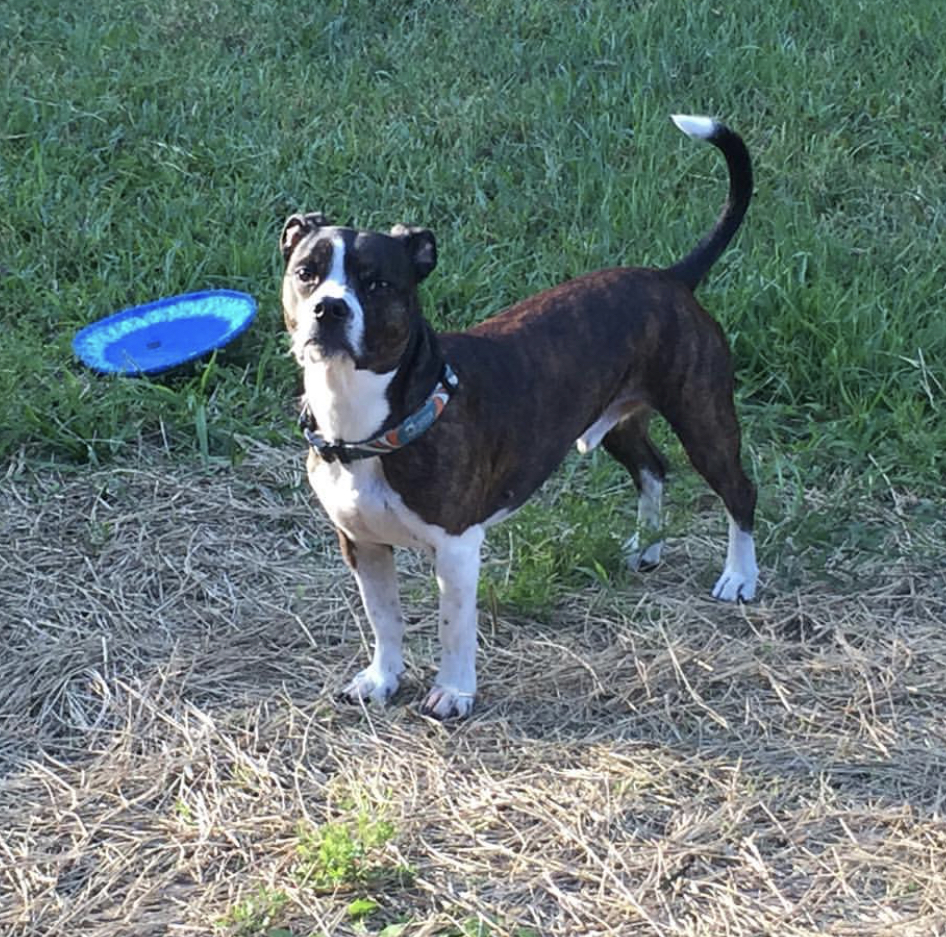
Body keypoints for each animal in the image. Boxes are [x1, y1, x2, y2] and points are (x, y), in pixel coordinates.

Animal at [280, 115, 760, 716]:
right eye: (306, 272)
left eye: (378, 282)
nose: (329, 308)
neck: (366, 425)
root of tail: (671, 278)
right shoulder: (362, 544)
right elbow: (384, 619)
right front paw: (382, 680)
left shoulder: (457, 548)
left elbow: (453, 628)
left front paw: (453, 692)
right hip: (617, 420)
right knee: (652, 468)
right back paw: (648, 546)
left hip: (703, 418)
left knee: (738, 491)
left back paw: (740, 577)